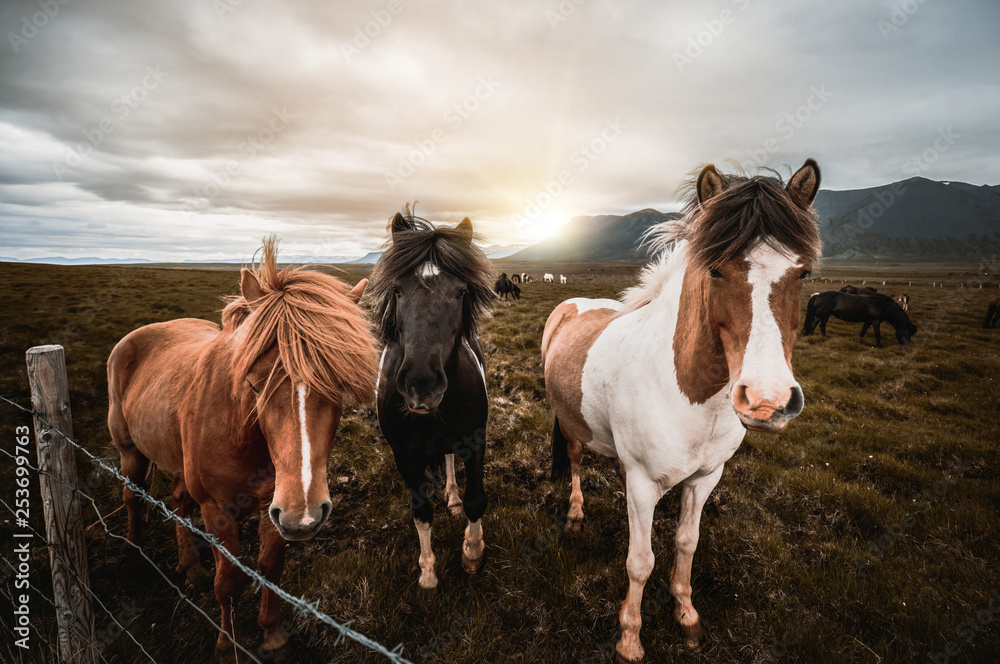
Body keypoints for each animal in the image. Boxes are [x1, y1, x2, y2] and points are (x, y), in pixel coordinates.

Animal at [105, 237, 376, 660]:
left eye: (338, 385)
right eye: (254, 382)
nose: (305, 514)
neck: (243, 431)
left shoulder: (274, 506)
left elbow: (270, 566)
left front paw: (273, 636)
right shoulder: (218, 511)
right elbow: (229, 582)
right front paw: (227, 648)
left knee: (178, 502)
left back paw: (190, 566)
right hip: (130, 451)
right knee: (133, 495)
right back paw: (134, 552)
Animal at [368, 209, 496, 596]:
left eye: (461, 291)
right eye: (396, 290)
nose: (420, 384)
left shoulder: (476, 438)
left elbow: (475, 499)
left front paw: (472, 553)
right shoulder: (404, 455)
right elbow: (421, 512)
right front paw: (427, 574)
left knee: (451, 459)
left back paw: (452, 496)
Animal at [544, 161, 824, 664]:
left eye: (803, 272)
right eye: (715, 269)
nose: (767, 400)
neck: (694, 400)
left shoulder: (706, 478)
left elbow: (686, 543)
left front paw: (687, 616)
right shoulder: (643, 484)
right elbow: (640, 562)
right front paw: (630, 638)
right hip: (572, 426)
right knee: (574, 461)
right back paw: (575, 514)